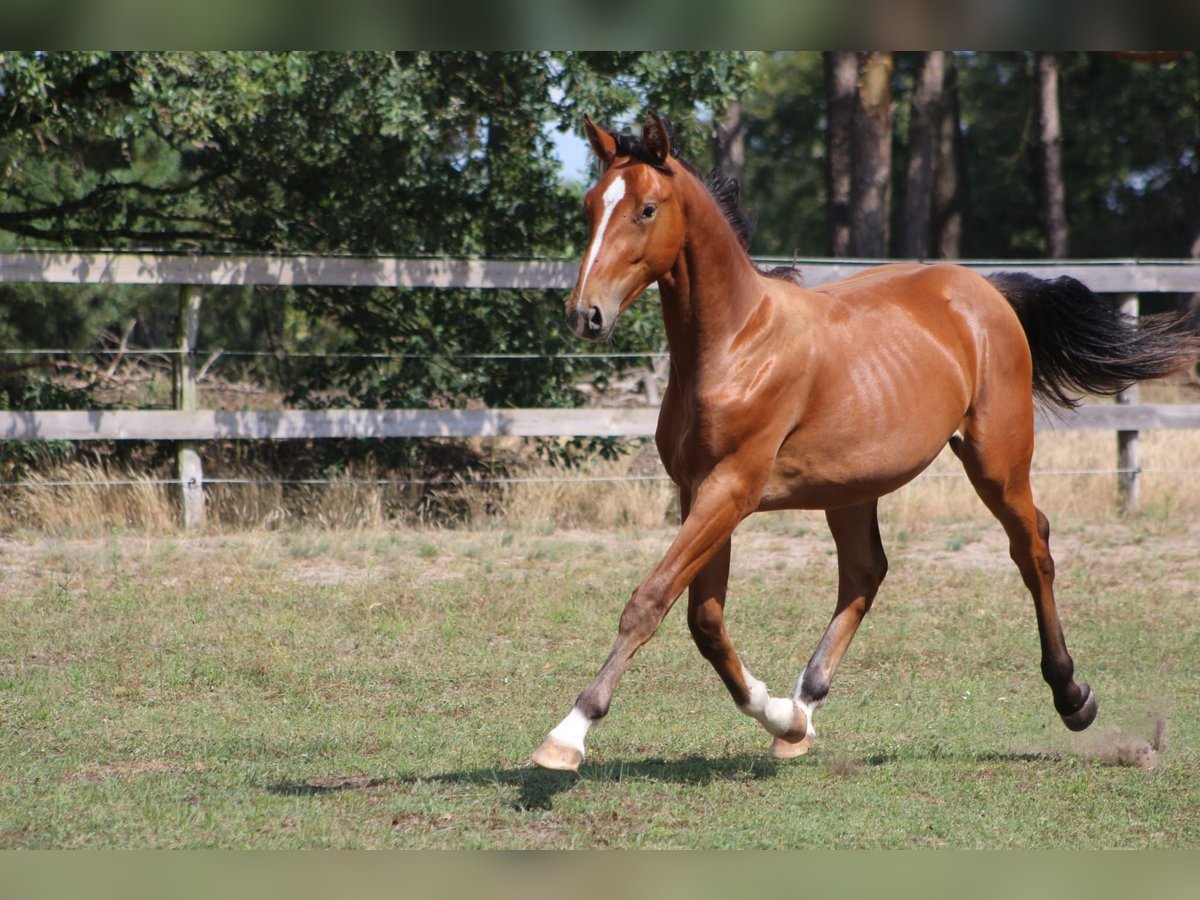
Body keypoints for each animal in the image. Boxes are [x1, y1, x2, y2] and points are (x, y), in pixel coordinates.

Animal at [535, 114, 1200, 777]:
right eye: (591, 205)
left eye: (647, 209)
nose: (584, 314)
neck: (734, 344)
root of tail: (984, 289)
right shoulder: (697, 490)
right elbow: (704, 618)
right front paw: (779, 713)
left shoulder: (732, 488)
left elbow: (651, 600)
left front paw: (568, 734)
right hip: (851, 486)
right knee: (865, 571)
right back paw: (803, 710)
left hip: (996, 461)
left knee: (1031, 547)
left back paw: (1073, 697)